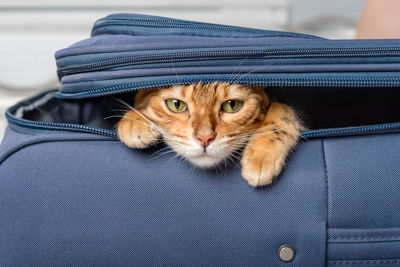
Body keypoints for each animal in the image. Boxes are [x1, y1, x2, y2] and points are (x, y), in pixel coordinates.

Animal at [117, 82, 302, 187]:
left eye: (232, 105)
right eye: (176, 105)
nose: (204, 138)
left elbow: (281, 111)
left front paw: (261, 157)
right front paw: (134, 120)